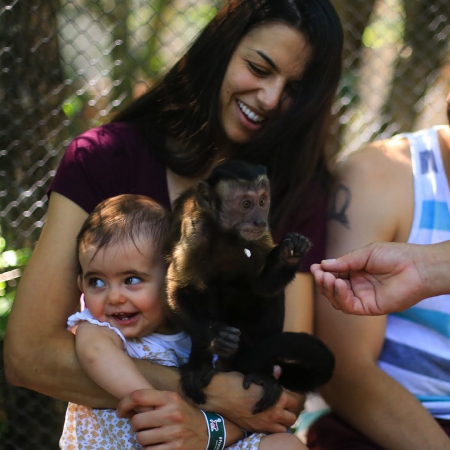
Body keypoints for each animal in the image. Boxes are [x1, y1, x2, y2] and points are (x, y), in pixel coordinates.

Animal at [165, 160, 334, 414]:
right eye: (246, 204)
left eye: (262, 202)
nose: (259, 220)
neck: (227, 235)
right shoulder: (196, 232)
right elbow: (177, 290)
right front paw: (215, 338)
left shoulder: (261, 236)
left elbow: (263, 287)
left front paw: (290, 253)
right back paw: (199, 365)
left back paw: (259, 372)